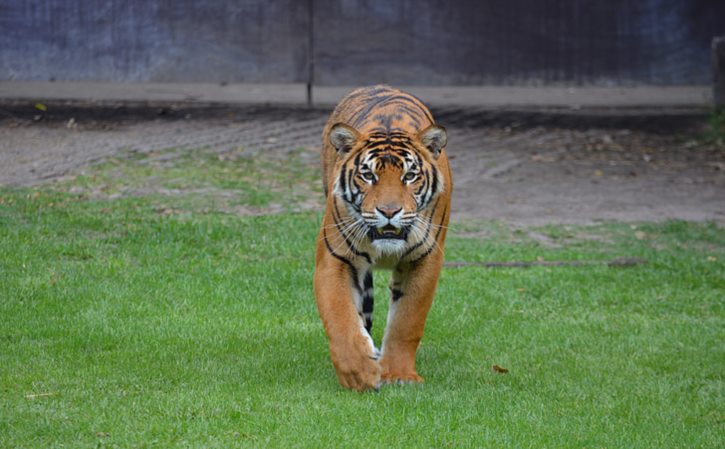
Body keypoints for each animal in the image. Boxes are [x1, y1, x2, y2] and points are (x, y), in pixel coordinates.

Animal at [312, 85, 450, 388]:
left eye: (410, 176)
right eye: (367, 175)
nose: (389, 211)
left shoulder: (425, 259)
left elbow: (407, 321)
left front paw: (399, 374)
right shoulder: (335, 258)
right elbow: (341, 319)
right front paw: (359, 372)